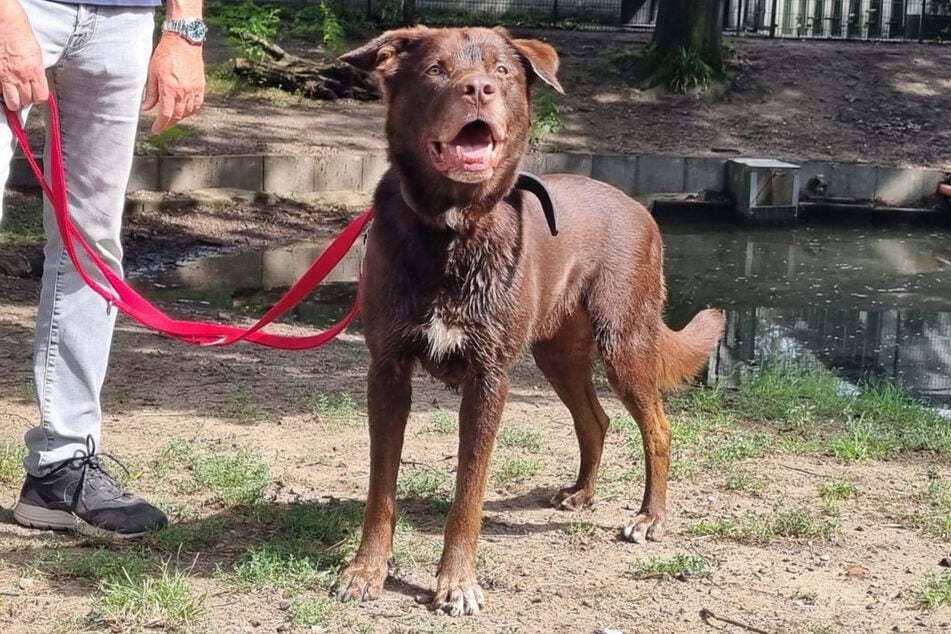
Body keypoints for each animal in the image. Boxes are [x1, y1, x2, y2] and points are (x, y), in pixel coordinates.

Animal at [338, 27, 724, 616]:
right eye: (435, 69)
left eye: (501, 70)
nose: (478, 88)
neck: (453, 231)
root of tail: (642, 209)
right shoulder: (387, 370)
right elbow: (381, 488)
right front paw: (366, 570)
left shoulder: (489, 378)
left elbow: (468, 493)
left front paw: (456, 582)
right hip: (557, 354)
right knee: (596, 420)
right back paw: (582, 493)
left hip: (625, 343)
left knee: (657, 428)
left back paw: (649, 517)